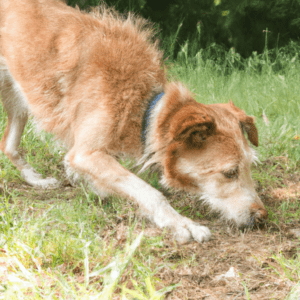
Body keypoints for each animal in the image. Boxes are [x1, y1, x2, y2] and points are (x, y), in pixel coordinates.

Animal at [0, 0, 268, 244]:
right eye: (230, 173)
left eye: (249, 166)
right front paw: (181, 223)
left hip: (18, 101)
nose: (262, 216)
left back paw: (37, 180)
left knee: (8, 146)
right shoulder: (86, 154)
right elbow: (149, 192)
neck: (144, 106)